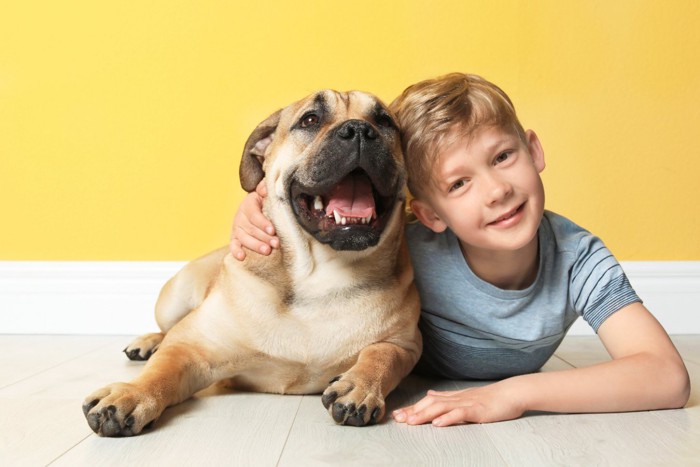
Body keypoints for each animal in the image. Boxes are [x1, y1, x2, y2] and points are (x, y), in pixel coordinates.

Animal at [82, 91, 422, 438]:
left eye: (384, 122)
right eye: (310, 120)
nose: (359, 130)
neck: (320, 275)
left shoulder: (405, 345)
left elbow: (381, 354)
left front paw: (360, 386)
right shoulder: (194, 346)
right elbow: (162, 369)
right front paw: (131, 394)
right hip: (173, 297)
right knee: (168, 330)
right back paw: (147, 342)